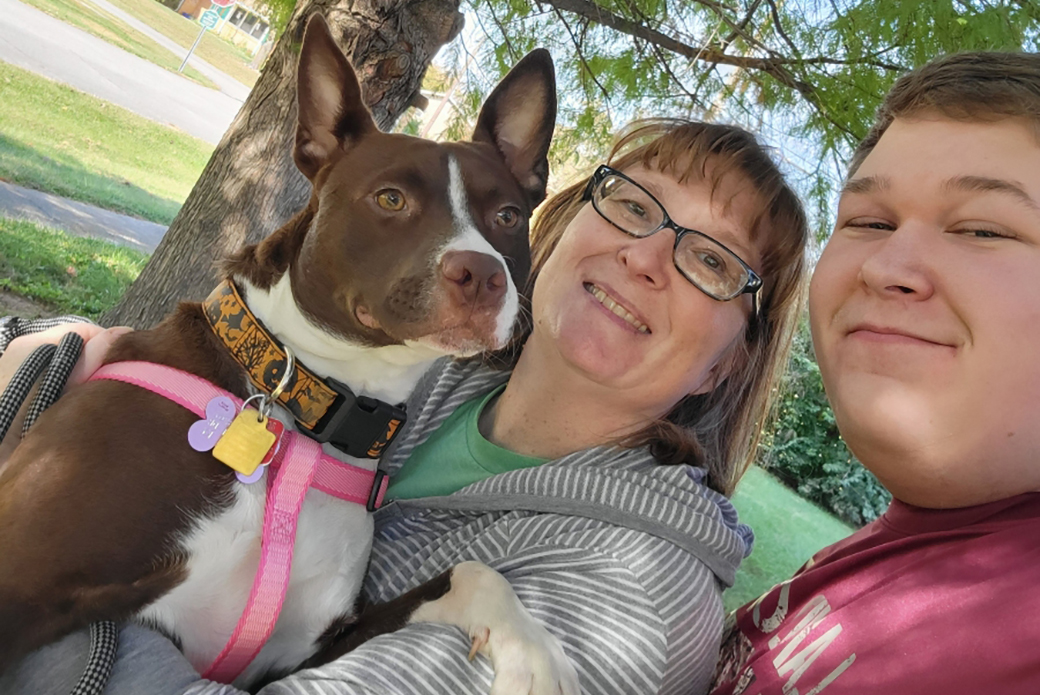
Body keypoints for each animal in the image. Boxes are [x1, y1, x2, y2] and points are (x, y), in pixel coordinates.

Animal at [0, 13, 578, 690]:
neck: (305, 410)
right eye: (390, 199)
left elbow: (472, 572)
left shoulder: (293, 654)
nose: (484, 275)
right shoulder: (23, 575)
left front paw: (531, 651)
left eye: (509, 216)